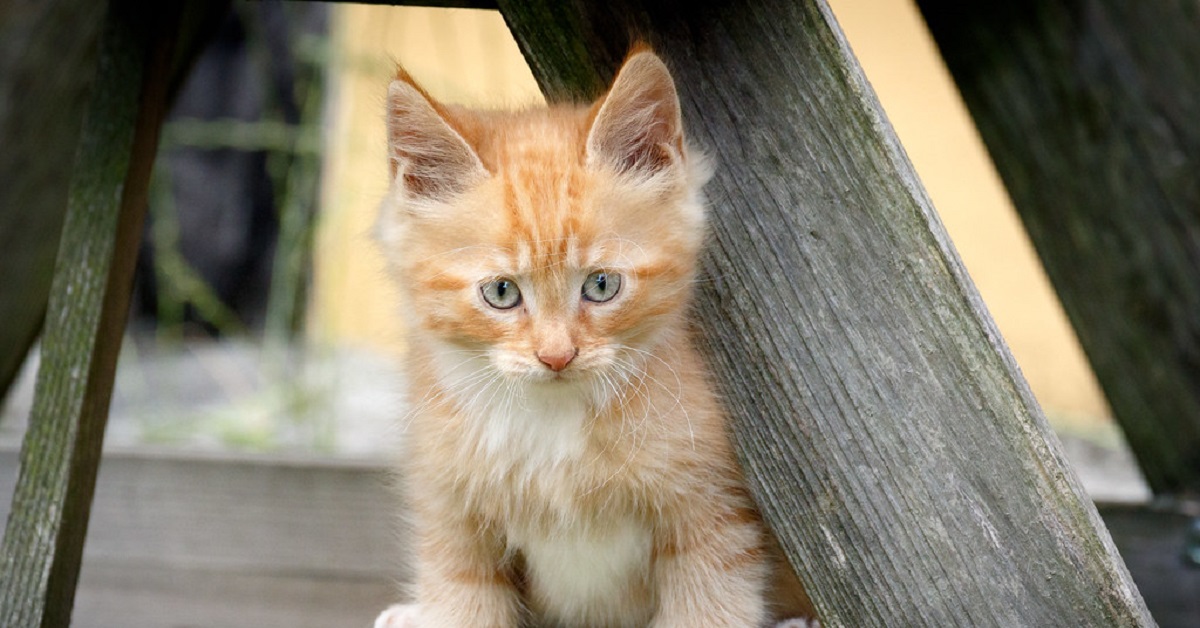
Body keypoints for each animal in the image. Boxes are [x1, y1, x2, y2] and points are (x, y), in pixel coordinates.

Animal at [369, 46, 816, 624]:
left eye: (601, 285)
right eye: (501, 293)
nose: (557, 356)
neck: (553, 426)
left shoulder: (712, 518)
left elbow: (706, 609)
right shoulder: (453, 521)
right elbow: (463, 605)